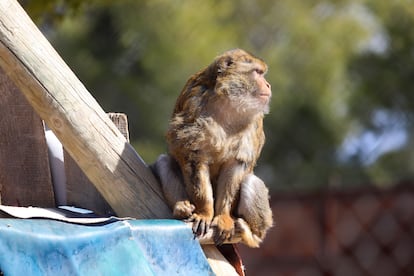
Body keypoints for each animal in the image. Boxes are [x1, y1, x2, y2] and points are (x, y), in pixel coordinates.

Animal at [150, 48, 274, 247]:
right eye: (258, 73)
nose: (268, 85)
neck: (229, 102)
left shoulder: (255, 121)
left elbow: (236, 165)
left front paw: (223, 216)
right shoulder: (194, 101)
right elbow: (193, 156)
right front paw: (205, 212)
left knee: (250, 181)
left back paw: (251, 234)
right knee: (164, 161)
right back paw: (181, 208)